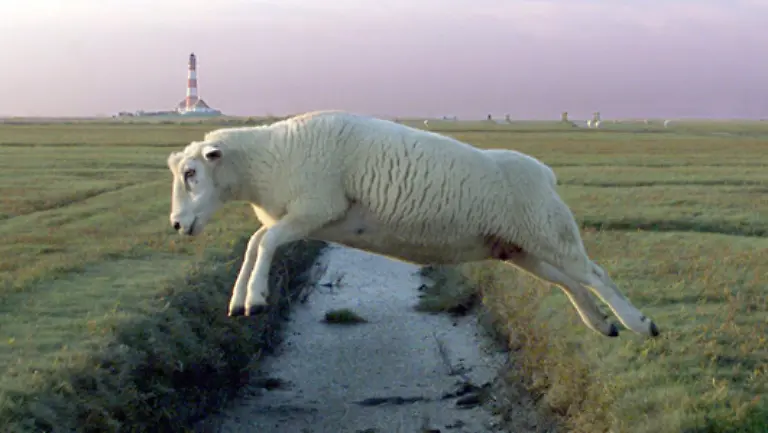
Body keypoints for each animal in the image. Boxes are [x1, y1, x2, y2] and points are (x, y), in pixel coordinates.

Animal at [166, 110, 660, 339]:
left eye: (191, 173)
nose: (176, 225)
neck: (269, 159)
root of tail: (545, 172)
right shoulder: (307, 220)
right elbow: (256, 242)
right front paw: (238, 300)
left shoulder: (316, 209)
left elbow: (265, 242)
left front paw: (255, 298)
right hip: (519, 248)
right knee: (569, 282)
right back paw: (601, 324)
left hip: (549, 231)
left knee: (595, 274)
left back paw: (639, 324)